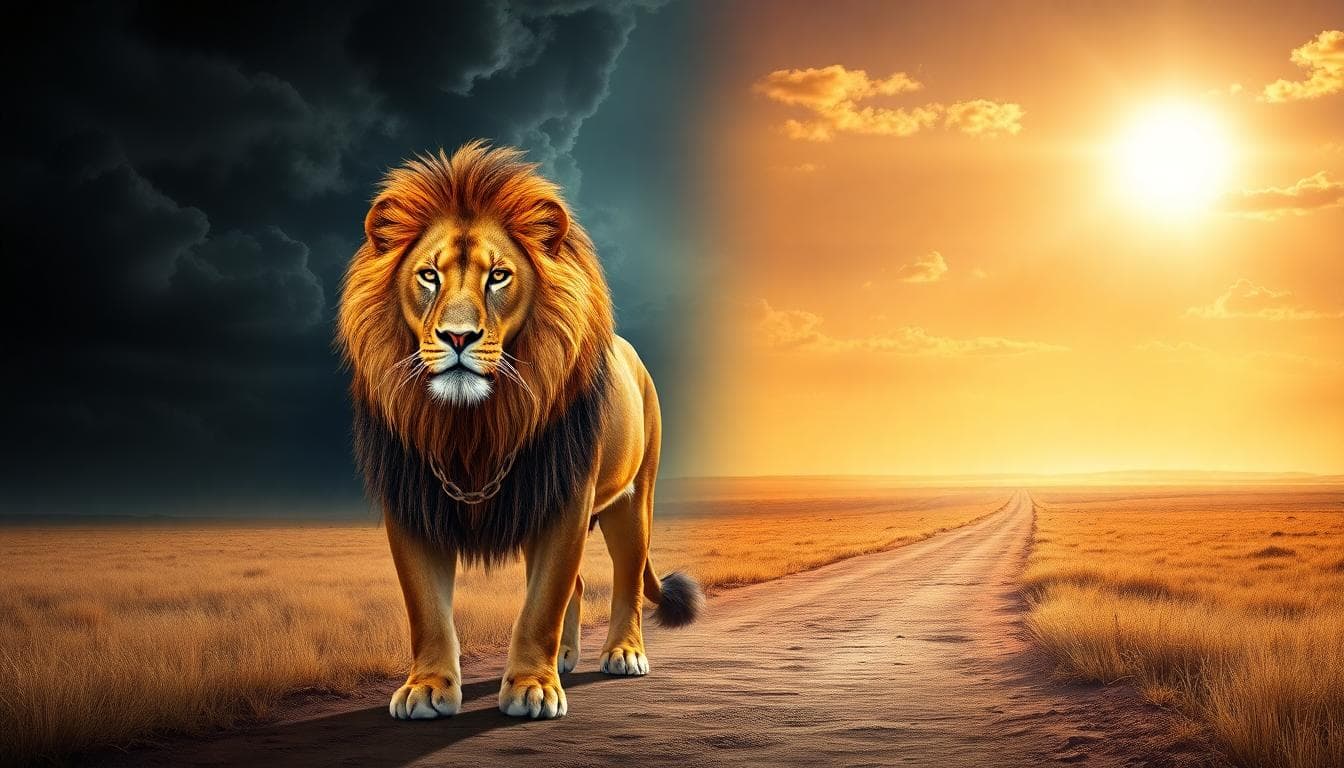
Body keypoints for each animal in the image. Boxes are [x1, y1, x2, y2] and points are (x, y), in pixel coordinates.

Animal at [336, 141, 702, 721]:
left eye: (499, 276)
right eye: (429, 276)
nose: (457, 336)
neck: (473, 425)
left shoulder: (565, 501)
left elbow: (542, 604)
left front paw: (532, 687)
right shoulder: (412, 501)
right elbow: (426, 608)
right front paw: (427, 687)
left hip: (632, 499)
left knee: (625, 580)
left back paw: (623, 653)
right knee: (580, 582)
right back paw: (569, 656)